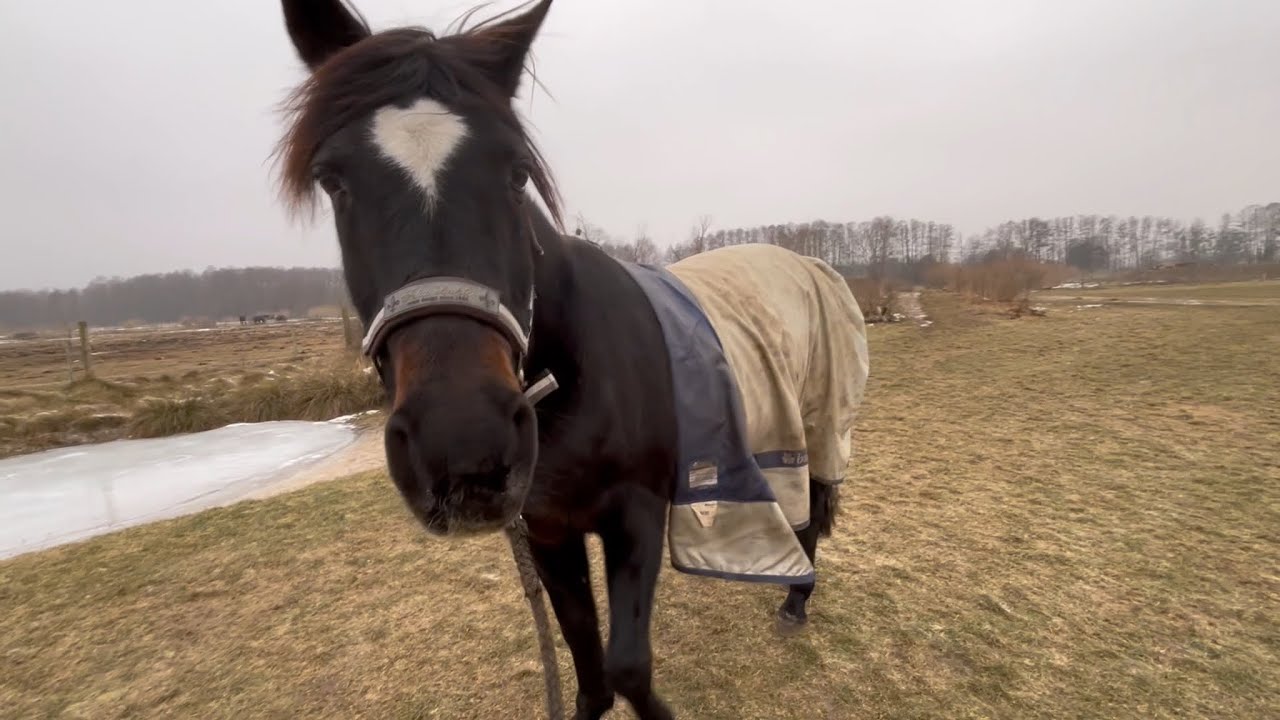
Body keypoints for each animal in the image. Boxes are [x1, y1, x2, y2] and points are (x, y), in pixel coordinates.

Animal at [275, 2, 869, 718]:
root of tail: (808, 263)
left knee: (811, 510)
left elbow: (628, 666)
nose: (463, 445)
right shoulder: (548, 530)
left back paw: (796, 601)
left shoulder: (635, 516)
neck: (575, 371)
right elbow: (587, 661)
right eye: (333, 179)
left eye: (516, 173)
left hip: (819, 421)